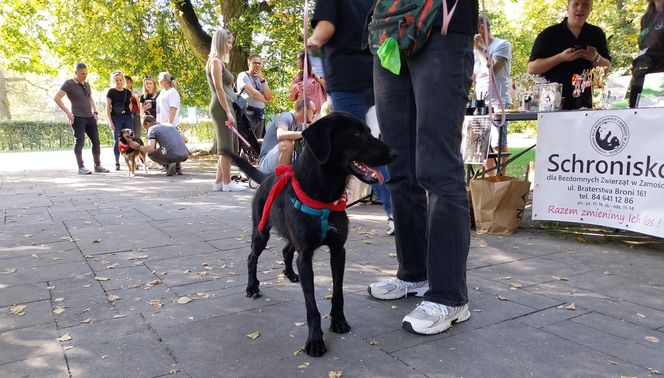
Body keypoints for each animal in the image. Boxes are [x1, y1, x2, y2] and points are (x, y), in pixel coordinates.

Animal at [226, 112, 396, 358]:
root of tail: (266, 177)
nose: (395, 153)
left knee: (286, 250)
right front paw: (315, 340)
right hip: (260, 233)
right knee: (252, 258)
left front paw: (338, 321)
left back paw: (290, 274)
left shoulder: (338, 251)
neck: (324, 195)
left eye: (369, 131)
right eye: (357, 134)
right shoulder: (306, 256)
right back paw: (252, 287)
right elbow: (311, 306)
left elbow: (338, 292)